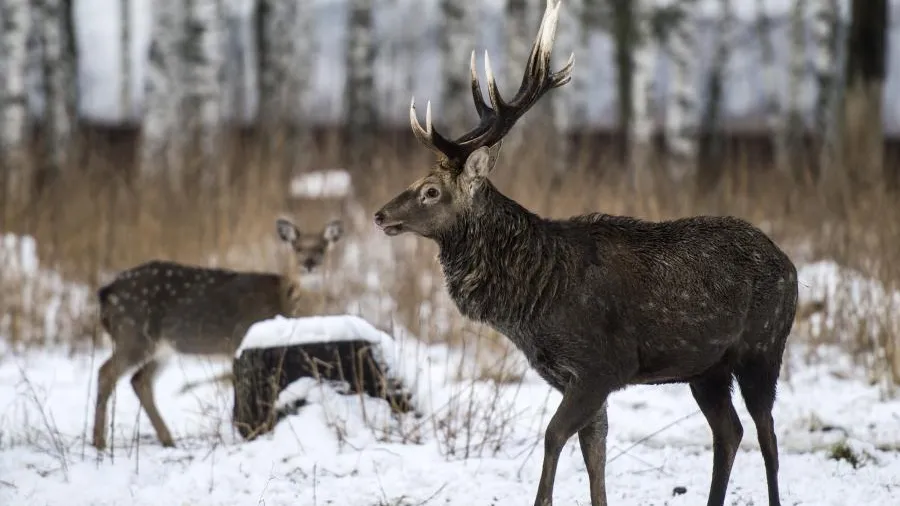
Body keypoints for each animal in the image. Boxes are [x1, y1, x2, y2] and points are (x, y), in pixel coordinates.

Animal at [92, 215, 344, 448]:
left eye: (321, 248)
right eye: (298, 248)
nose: (309, 263)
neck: (285, 302)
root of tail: (106, 293)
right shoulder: (242, 338)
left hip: (162, 347)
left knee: (139, 380)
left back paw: (168, 440)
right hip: (133, 333)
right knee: (106, 373)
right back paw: (99, 442)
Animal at [370, 1, 796, 504]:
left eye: (431, 191)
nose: (380, 214)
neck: (534, 300)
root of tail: (790, 265)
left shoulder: (601, 367)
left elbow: (555, 435)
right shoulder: (569, 376)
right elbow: (595, 450)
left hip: (764, 348)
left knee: (767, 435)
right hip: (707, 369)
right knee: (729, 431)